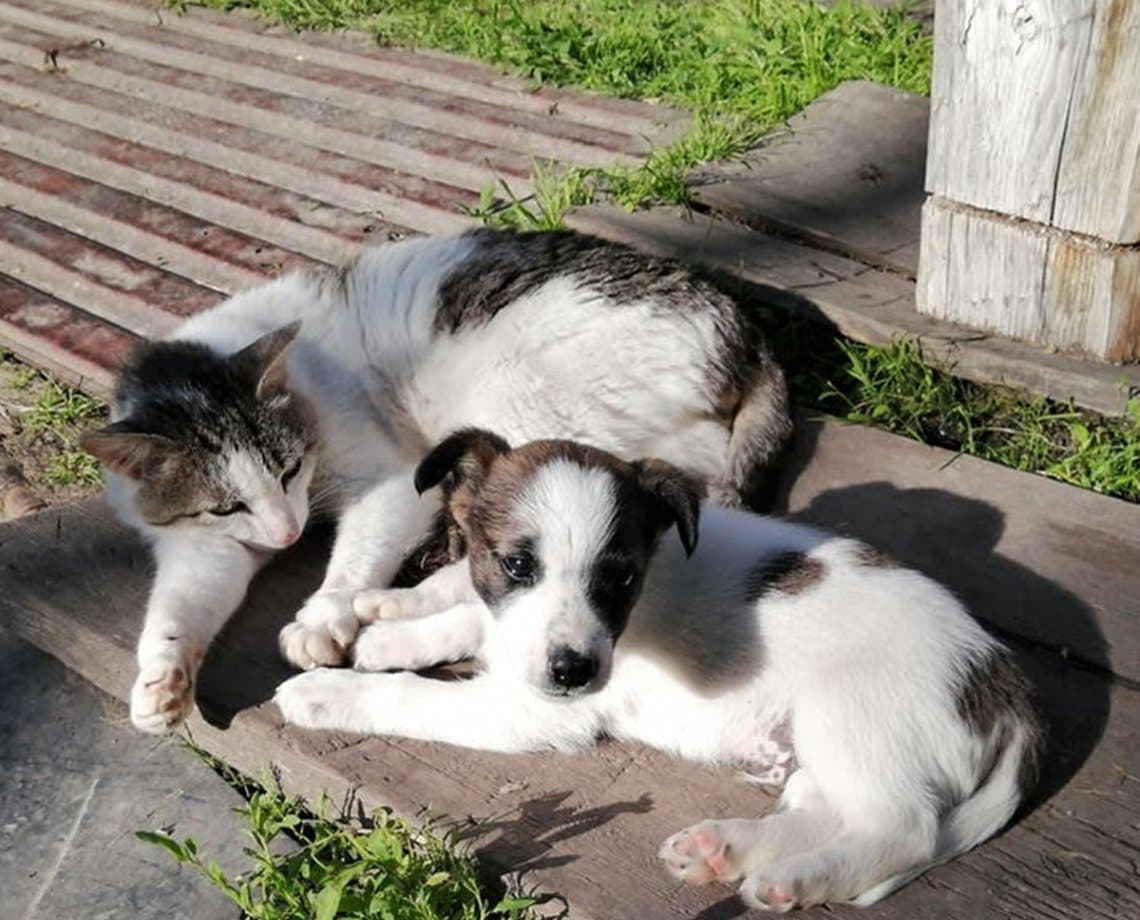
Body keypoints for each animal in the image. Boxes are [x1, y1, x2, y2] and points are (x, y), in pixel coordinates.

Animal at [82, 228, 793, 734]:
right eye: (226, 507)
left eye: (289, 468)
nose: (285, 535)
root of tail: (749, 333)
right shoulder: (204, 544)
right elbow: (179, 604)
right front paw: (161, 680)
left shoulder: (391, 480)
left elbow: (355, 554)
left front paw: (324, 614)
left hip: (518, 401)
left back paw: (401, 600)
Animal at [275, 428, 1044, 912]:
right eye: (517, 564)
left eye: (620, 578)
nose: (574, 671)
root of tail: (1007, 687)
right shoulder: (514, 633)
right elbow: (466, 619)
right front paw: (390, 632)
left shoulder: (529, 710)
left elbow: (415, 698)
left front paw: (329, 691)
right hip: (821, 746)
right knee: (830, 812)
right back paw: (726, 850)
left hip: (852, 717)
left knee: (902, 830)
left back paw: (795, 880)